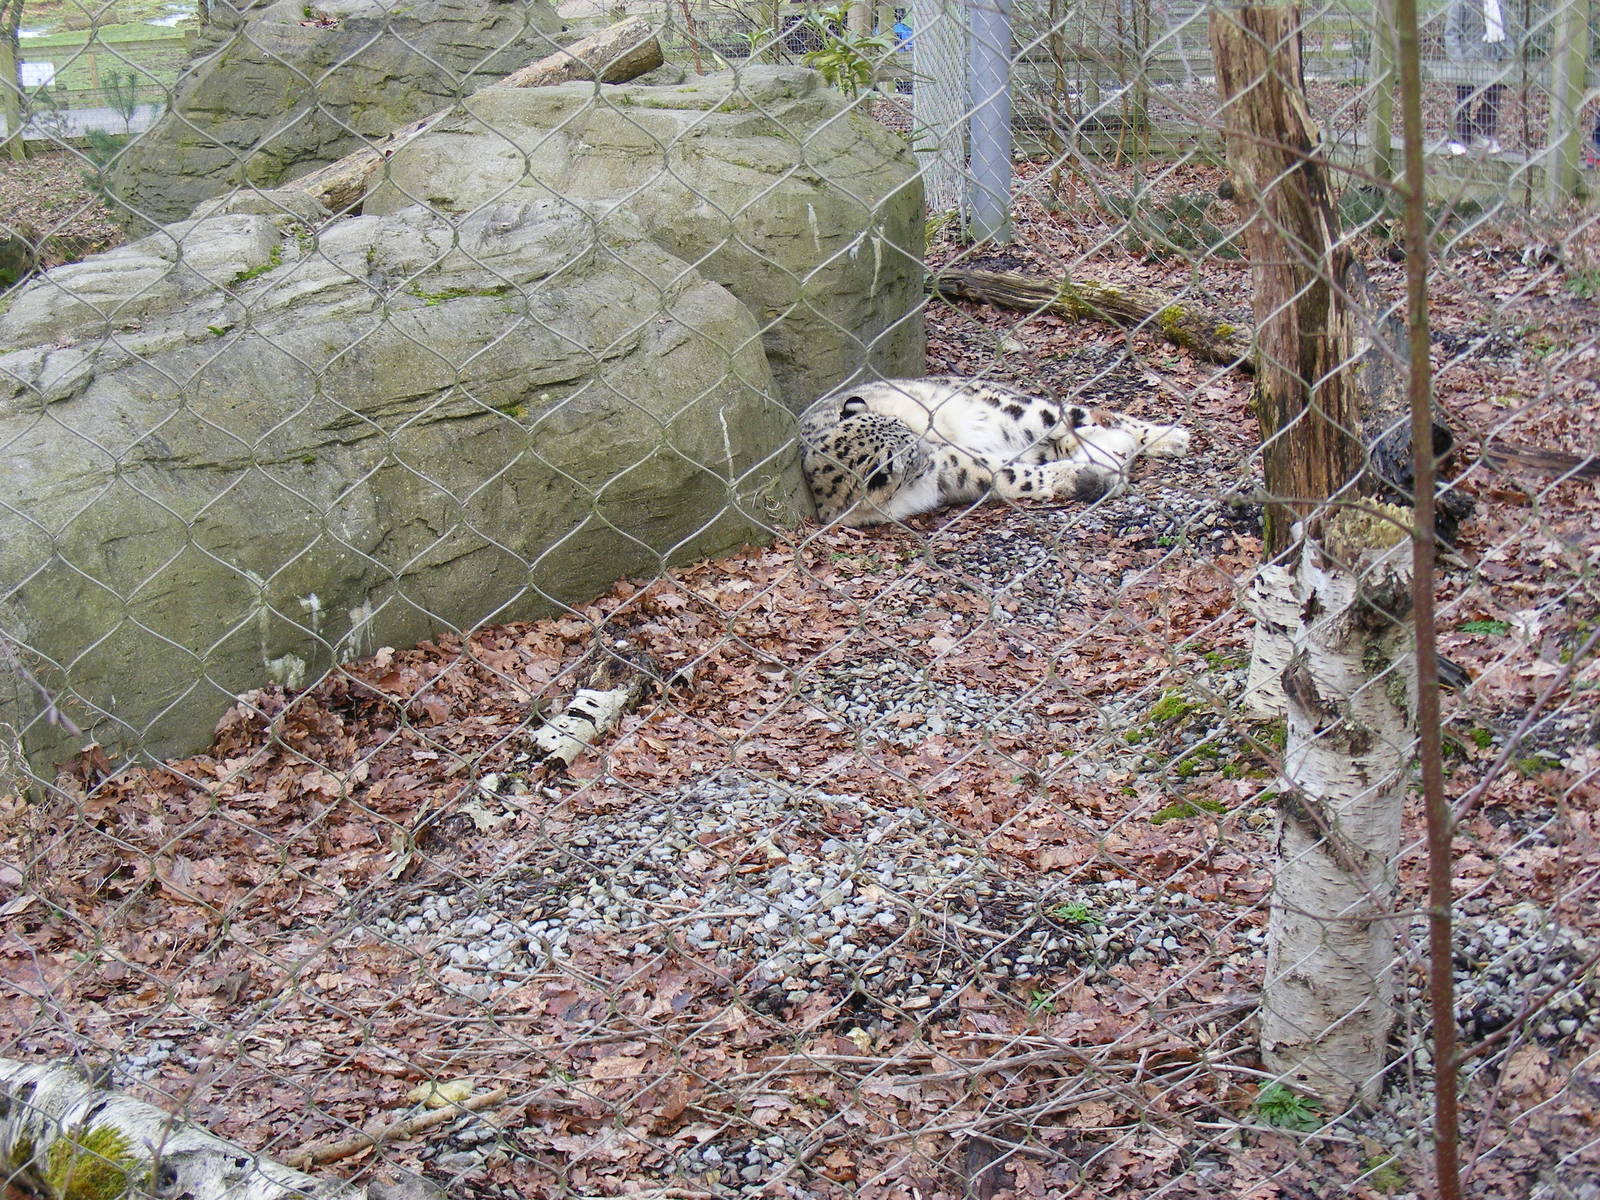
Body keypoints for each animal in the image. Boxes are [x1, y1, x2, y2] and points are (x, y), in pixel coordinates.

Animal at [799, 376, 1192, 527]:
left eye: (905, 427)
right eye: (911, 456)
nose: (933, 446)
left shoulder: (955, 460)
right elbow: (1012, 474)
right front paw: (1075, 476)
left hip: (1020, 410)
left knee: (1082, 417)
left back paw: (1168, 436)